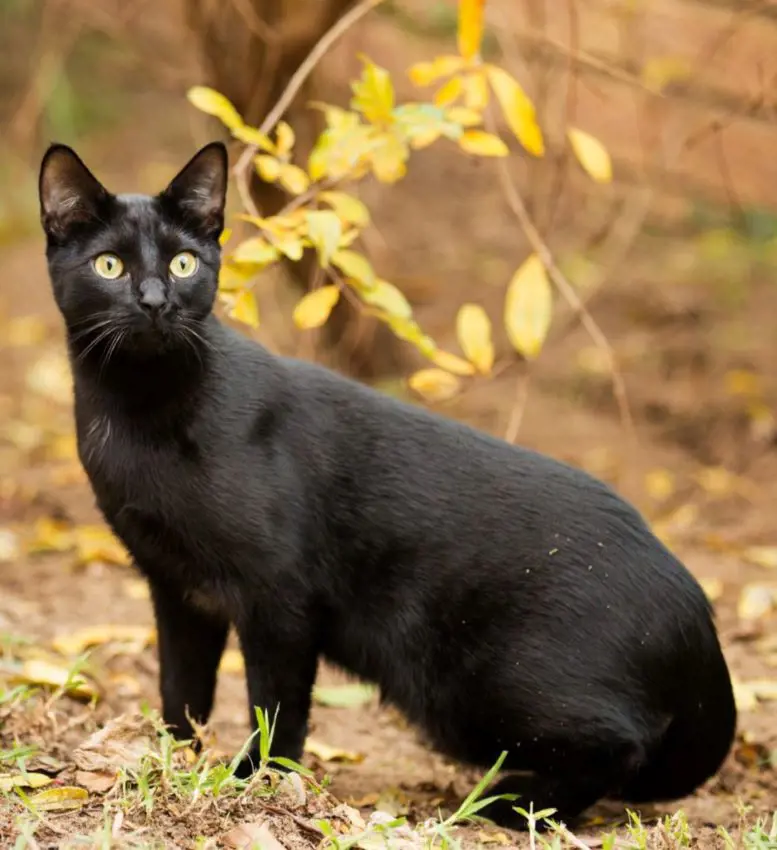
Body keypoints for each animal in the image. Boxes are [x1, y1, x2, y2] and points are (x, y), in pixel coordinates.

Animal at [39, 142, 736, 824]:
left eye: (184, 264)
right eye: (109, 266)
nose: (156, 302)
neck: (138, 414)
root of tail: (698, 622)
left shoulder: (279, 598)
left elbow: (277, 708)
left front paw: (255, 784)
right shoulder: (178, 589)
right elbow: (182, 695)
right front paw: (171, 763)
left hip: (484, 685)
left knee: (622, 746)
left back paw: (511, 803)